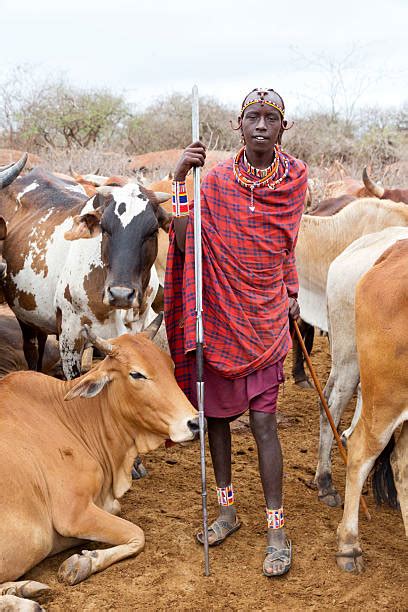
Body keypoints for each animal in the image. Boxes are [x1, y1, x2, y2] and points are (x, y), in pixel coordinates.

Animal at [0, 167, 171, 378]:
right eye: (105, 228)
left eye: (153, 231)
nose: (120, 295)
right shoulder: (70, 337)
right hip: (25, 319)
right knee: (32, 350)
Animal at [0, 314, 199, 608]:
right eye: (136, 374)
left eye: (170, 366)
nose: (195, 423)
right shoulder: (73, 513)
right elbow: (138, 534)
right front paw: (81, 564)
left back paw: (23, 588)